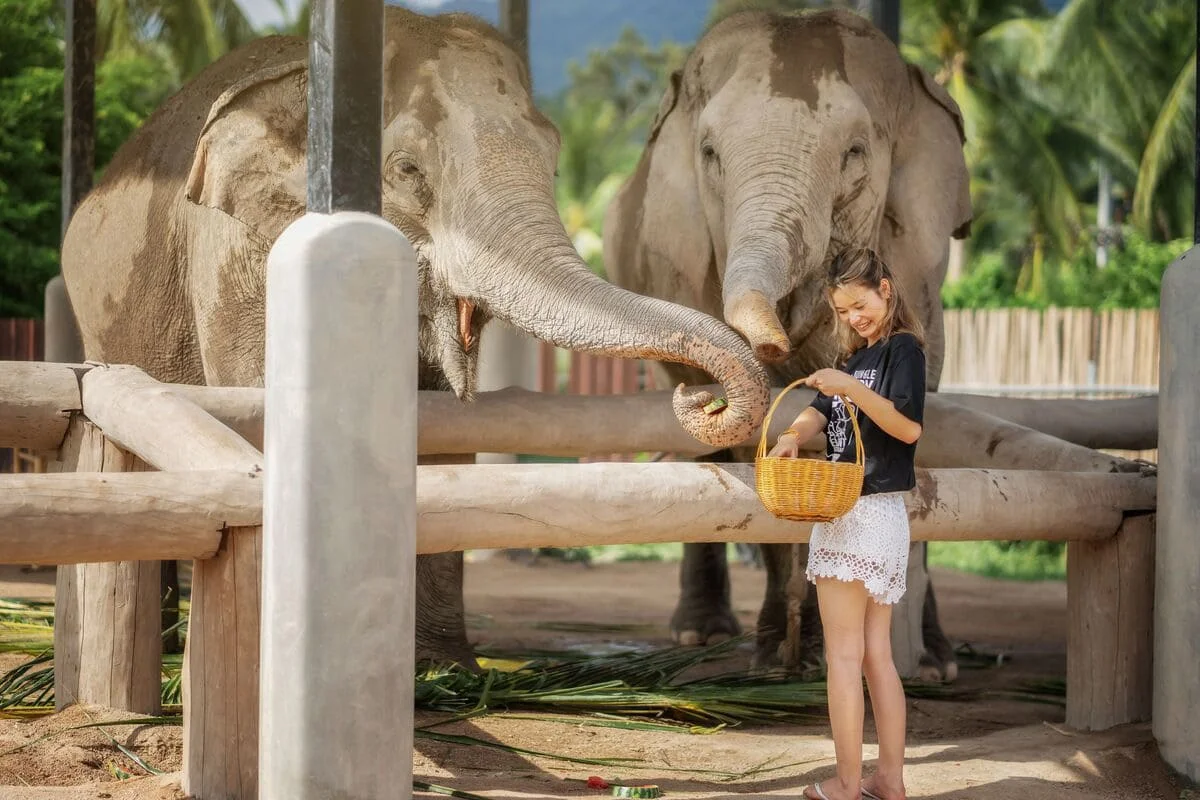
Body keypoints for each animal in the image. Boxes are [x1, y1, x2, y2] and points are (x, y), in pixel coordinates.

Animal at [61, 7, 771, 668]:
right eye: (405, 170)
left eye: (554, 158)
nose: (699, 398)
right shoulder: (236, 257)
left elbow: (441, 436)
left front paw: (442, 670)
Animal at [603, 8, 971, 678]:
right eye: (710, 154)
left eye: (855, 153)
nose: (775, 347)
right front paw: (779, 656)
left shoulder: (921, 266)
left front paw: (926, 664)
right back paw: (702, 634)